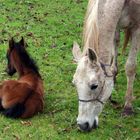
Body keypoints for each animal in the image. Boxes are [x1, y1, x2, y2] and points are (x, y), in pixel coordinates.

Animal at [72, 0, 140, 131]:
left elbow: (130, 67)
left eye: (94, 86)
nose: (82, 125)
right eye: (74, 84)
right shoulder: (115, 24)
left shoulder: (137, 28)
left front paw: (128, 107)